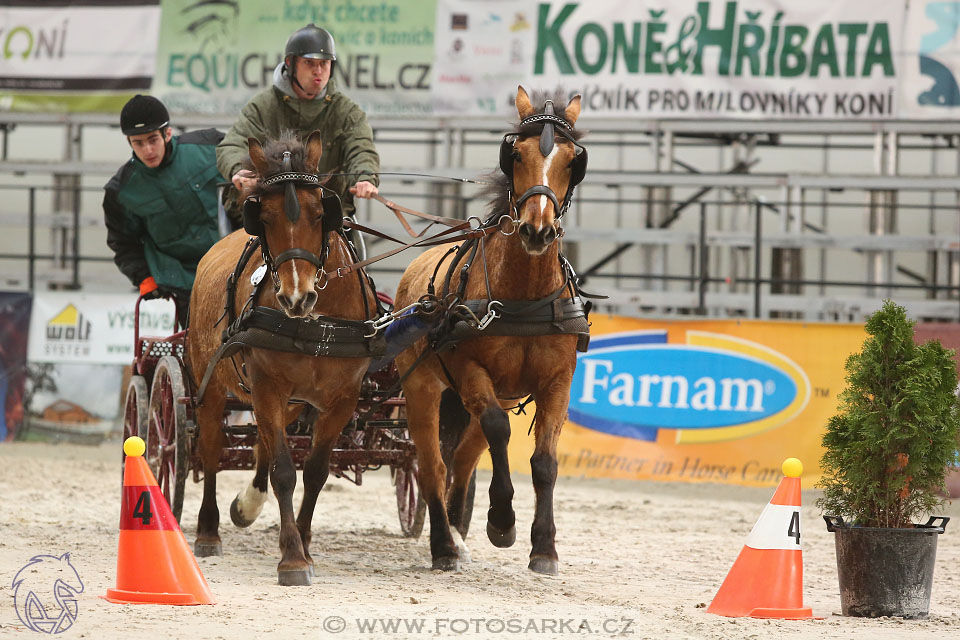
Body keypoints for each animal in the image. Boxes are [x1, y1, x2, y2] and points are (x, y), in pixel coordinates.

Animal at [184, 130, 378, 584]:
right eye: (266, 217)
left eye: (319, 212)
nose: (296, 297)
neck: (315, 322)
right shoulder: (267, 387)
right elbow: (285, 472)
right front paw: (292, 558)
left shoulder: (342, 399)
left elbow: (315, 472)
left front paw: (304, 543)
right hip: (211, 384)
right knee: (212, 450)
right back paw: (208, 532)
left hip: (288, 402)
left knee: (263, 442)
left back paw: (246, 505)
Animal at [394, 89, 588, 576]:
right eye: (515, 154)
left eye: (572, 160)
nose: (537, 230)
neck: (524, 296)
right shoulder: (470, 371)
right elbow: (500, 432)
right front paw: (502, 520)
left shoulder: (558, 381)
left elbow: (545, 462)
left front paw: (544, 547)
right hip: (424, 387)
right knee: (432, 464)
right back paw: (444, 545)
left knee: (463, 458)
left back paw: (457, 531)